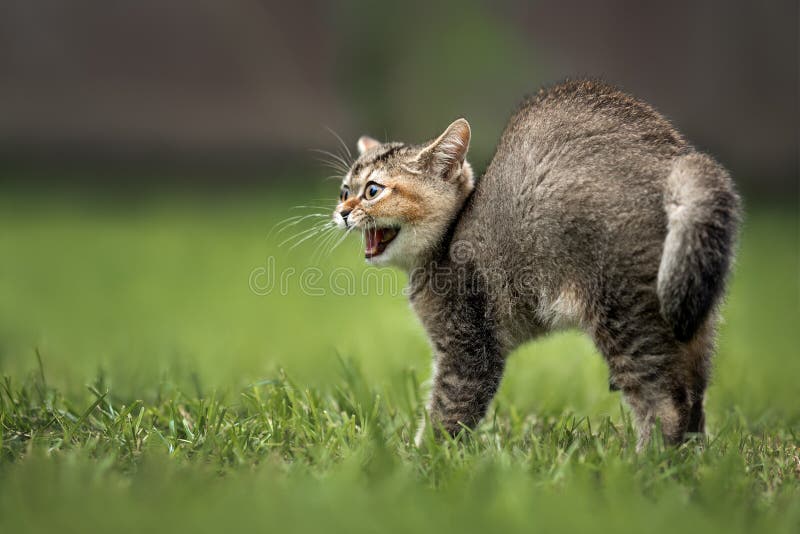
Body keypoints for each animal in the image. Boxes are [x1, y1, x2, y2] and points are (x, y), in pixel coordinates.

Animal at [330, 79, 736, 450]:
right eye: (345, 191)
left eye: (373, 190)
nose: (342, 212)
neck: (445, 243)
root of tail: (671, 162)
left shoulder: (469, 349)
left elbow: (448, 412)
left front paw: (419, 459)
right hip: (691, 311)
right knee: (695, 402)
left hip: (626, 315)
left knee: (667, 405)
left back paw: (645, 464)